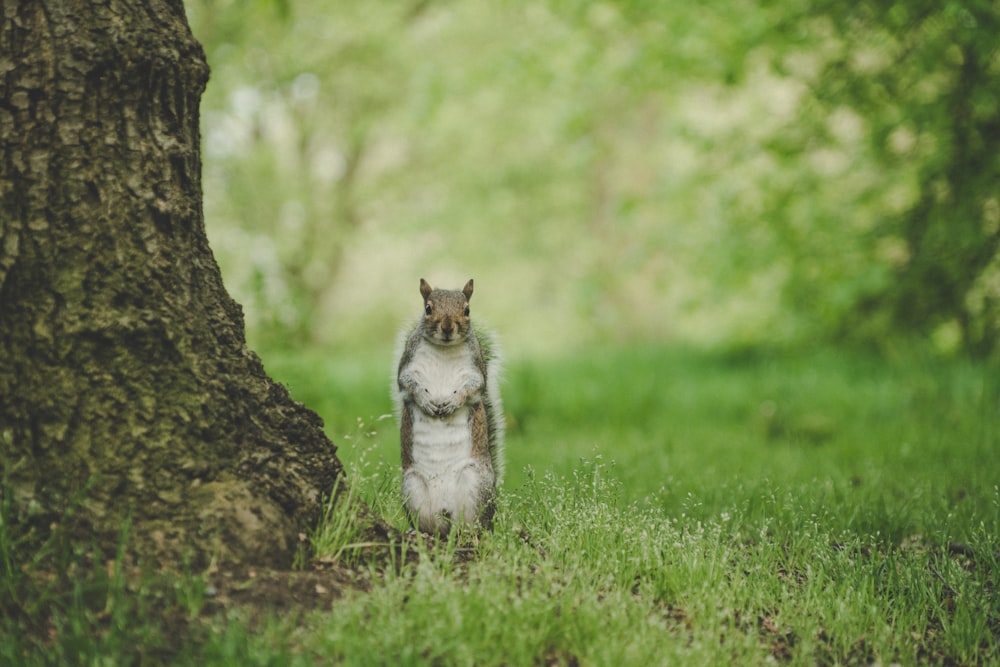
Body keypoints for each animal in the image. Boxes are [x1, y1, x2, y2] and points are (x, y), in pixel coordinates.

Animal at [392, 278, 504, 536]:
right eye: (428, 308)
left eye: (467, 310)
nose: (447, 326)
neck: (443, 349)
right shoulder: (407, 366)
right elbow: (408, 384)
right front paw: (427, 402)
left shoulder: (476, 371)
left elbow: (472, 388)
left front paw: (452, 403)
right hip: (412, 486)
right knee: (430, 527)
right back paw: (419, 532)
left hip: (476, 484)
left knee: (474, 525)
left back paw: (473, 533)